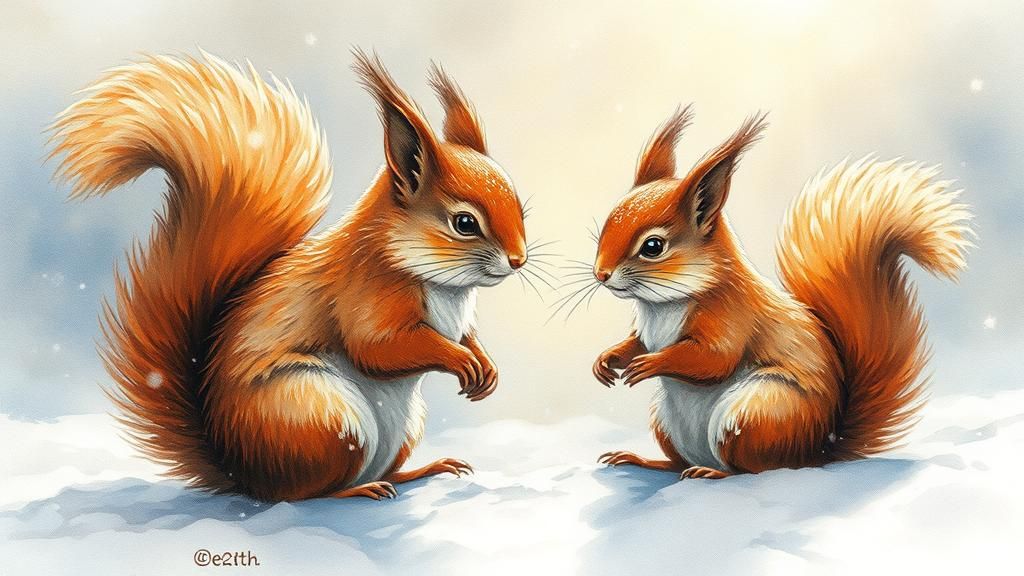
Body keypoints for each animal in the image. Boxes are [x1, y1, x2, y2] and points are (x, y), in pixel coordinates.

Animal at [50, 50, 528, 501]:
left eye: (520, 206)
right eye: (464, 223)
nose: (519, 259)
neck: (444, 285)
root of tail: (240, 473)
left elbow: (464, 336)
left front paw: (485, 365)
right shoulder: (367, 292)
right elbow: (377, 348)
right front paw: (461, 360)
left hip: (403, 427)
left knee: (377, 472)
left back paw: (424, 469)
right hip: (321, 417)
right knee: (303, 493)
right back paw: (358, 489)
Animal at [592, 106, 972, 479]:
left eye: (653, 247)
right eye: (605, 228)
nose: (600, 274)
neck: (663, 303)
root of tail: (819, 451)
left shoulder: (730, 314)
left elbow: (714, 358)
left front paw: (651, 363)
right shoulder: (647, 330)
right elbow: (636, 343)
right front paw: (608, 359)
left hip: (757, 413)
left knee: (756, 468)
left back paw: (713, 472)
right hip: (666, 420)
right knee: (677, 463)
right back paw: (643, 459)